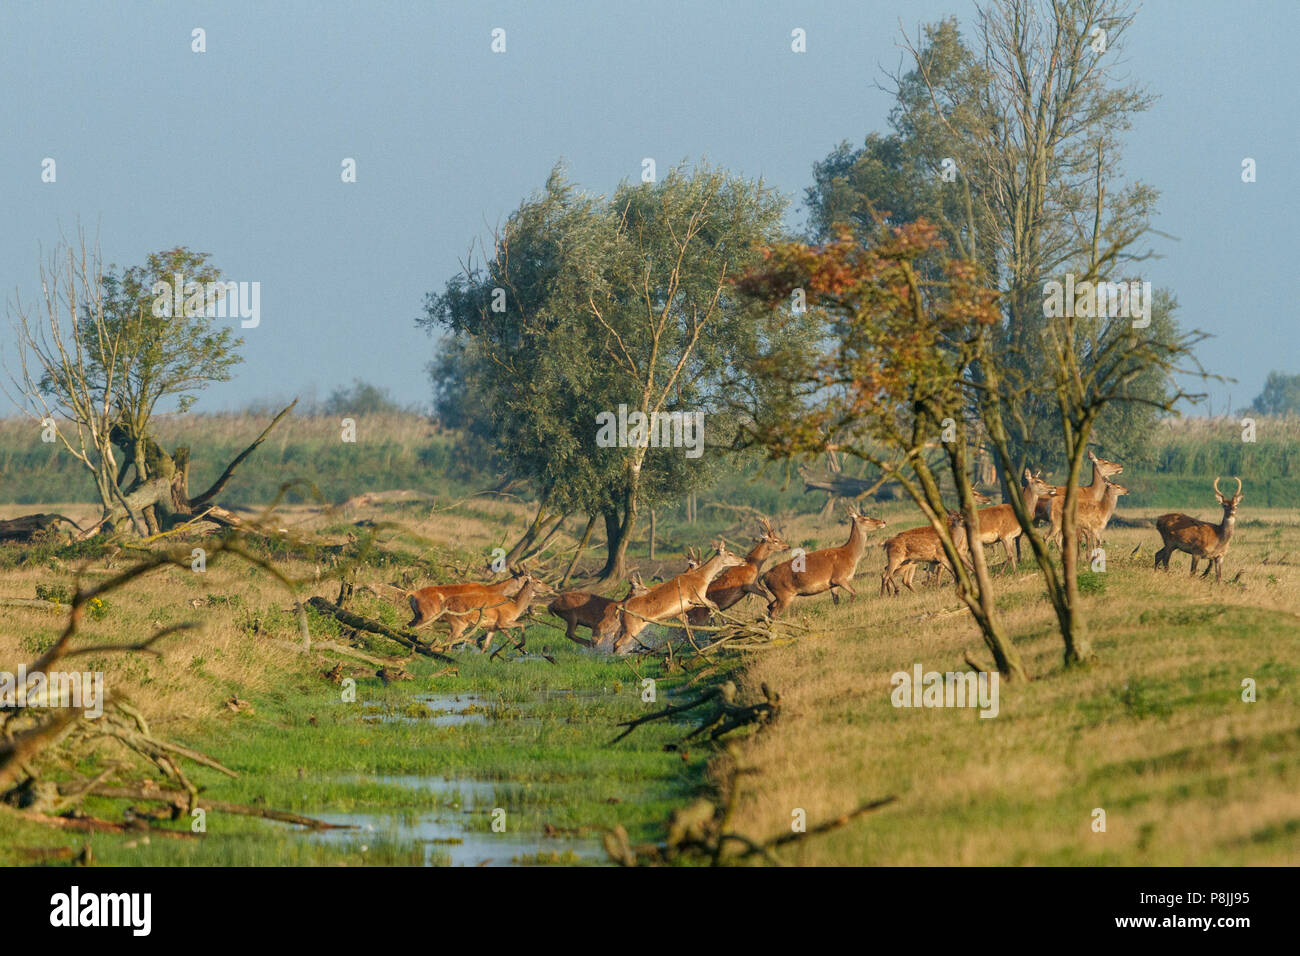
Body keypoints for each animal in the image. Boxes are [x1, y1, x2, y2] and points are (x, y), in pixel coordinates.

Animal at [595, 541, 748, 655]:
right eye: (730, 553)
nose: (744, 560)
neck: (702, 578)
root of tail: (621, 609)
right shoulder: (696, 597)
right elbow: (714, 604)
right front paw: (723, 623)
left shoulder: (686, 607)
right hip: (632, 627)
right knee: (617, 643)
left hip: (624, 627)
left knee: (613, 640)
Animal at [759, 509, 889, 621]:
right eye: (865, 518)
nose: (883, 522)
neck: (850, 555)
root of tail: (764, 576)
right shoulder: (839, 577)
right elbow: (854, 592)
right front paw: (849, 606)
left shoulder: (833, 584)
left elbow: (836, 601)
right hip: (784, 594)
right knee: (774, 613)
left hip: (780, 595)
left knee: (769, 607)